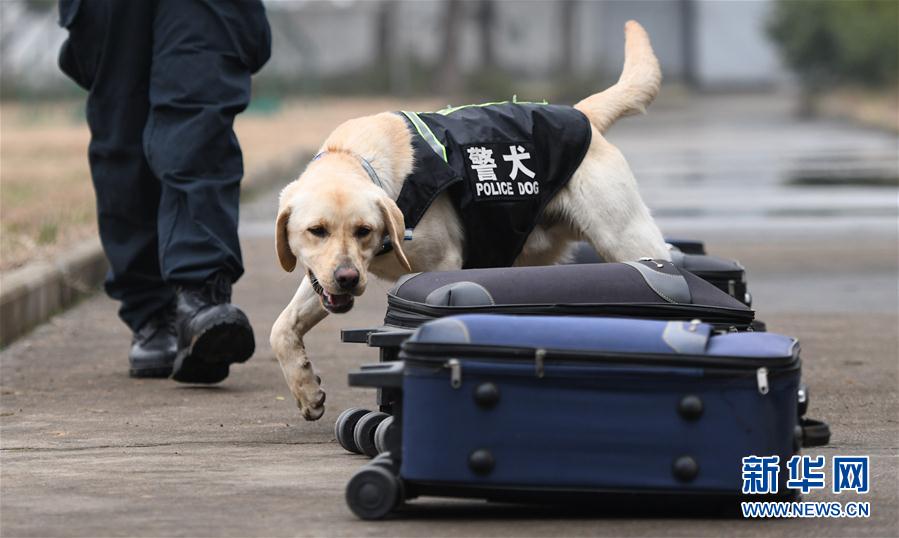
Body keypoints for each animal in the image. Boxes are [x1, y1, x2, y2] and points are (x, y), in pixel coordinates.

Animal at [270, 22, 672, 418]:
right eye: (317, 231)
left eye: (363, 231)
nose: (348, 279)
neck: (354, 158)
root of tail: (581, 112)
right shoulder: (321, 276)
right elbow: (281, 328)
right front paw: (306, 390)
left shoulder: (441, 264)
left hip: (626, 236)